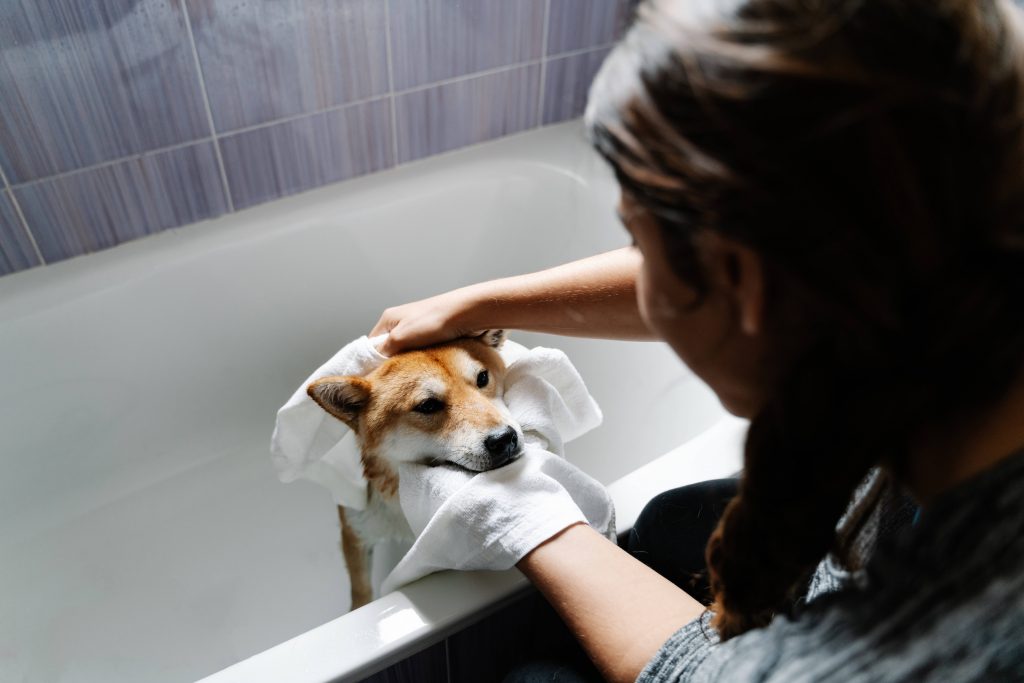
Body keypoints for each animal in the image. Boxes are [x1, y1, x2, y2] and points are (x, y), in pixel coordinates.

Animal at [305, 329, 524, 610]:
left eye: (483, 378)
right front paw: (359, 609)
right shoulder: (355, 531)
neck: (399, 494)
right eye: (428, 405)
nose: (503, 439)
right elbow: (361, 590)